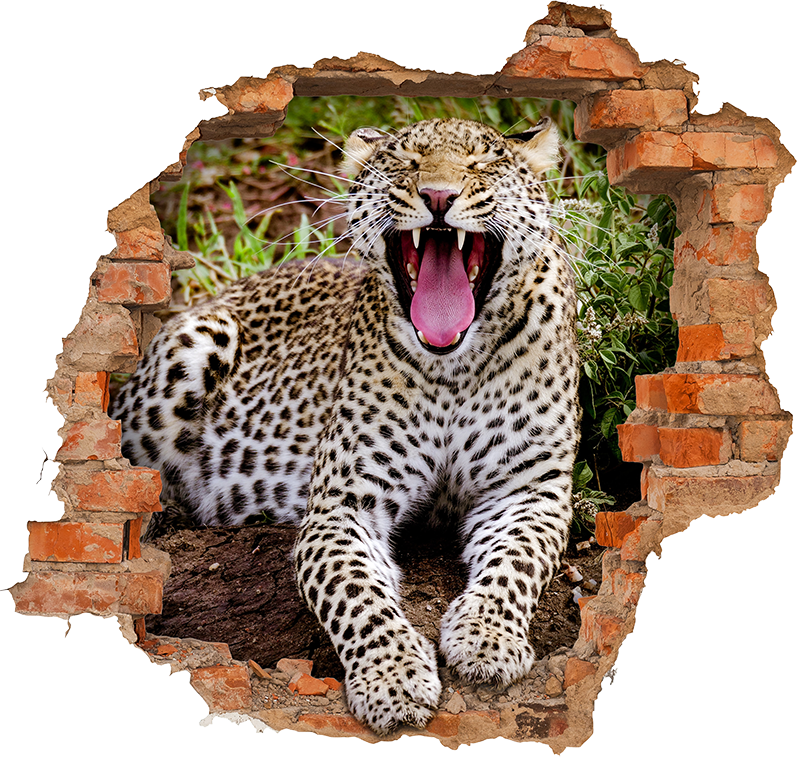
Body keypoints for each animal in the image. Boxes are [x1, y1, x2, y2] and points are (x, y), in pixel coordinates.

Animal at [111, 117, 580, 735]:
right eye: (405, 162)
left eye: (482, 164)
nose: (438, 196)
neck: (452, 366)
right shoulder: (343, 505)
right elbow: (357, 595)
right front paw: (393, 679)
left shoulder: (528, 491)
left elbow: (515, 565)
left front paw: (486, 640)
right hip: (196, 342)